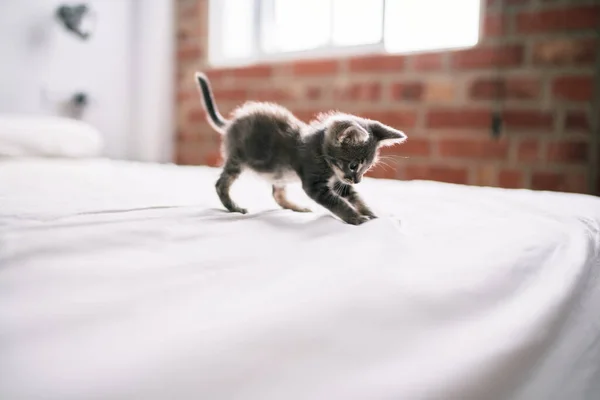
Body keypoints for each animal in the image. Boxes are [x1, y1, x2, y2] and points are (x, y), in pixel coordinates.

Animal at [195, 72, 406, 225]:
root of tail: (231, 122)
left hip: (277, 172)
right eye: (354, 165)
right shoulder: (316, 185)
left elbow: (356, 198)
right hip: (238, 158)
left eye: (366, 168)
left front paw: (371, 214)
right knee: (221, 184)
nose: (358, 180)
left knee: (277, 194)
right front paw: (356, 218)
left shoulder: (340, 183)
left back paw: (296, 207)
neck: (322, 155)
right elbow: (338, 203)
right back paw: (234, 208)